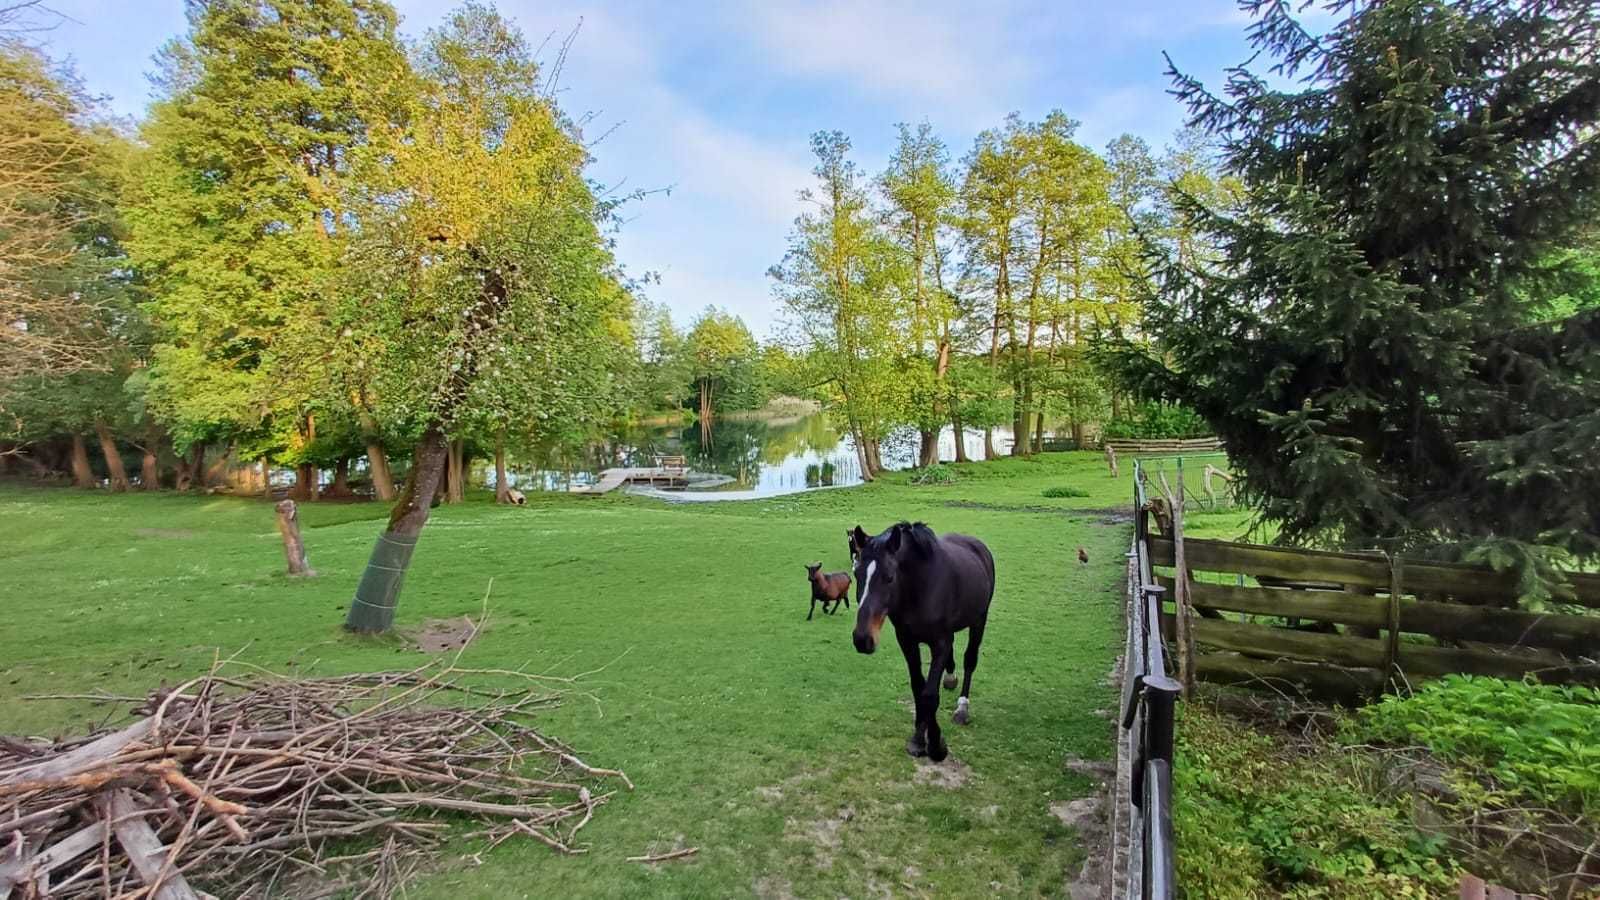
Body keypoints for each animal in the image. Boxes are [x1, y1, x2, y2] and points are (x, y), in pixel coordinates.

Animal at [851, 522, 985, 759]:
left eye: (889, 577)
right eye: (857, 574)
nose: (862, 639)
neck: (920, 588)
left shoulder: (940, 643)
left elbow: (929, 694)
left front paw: (936, 745)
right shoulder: (907, 641)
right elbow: (918, 687)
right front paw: (919, 738)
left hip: (979, 622)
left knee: (970, 661)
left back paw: (962, 709)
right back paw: (950, 678)